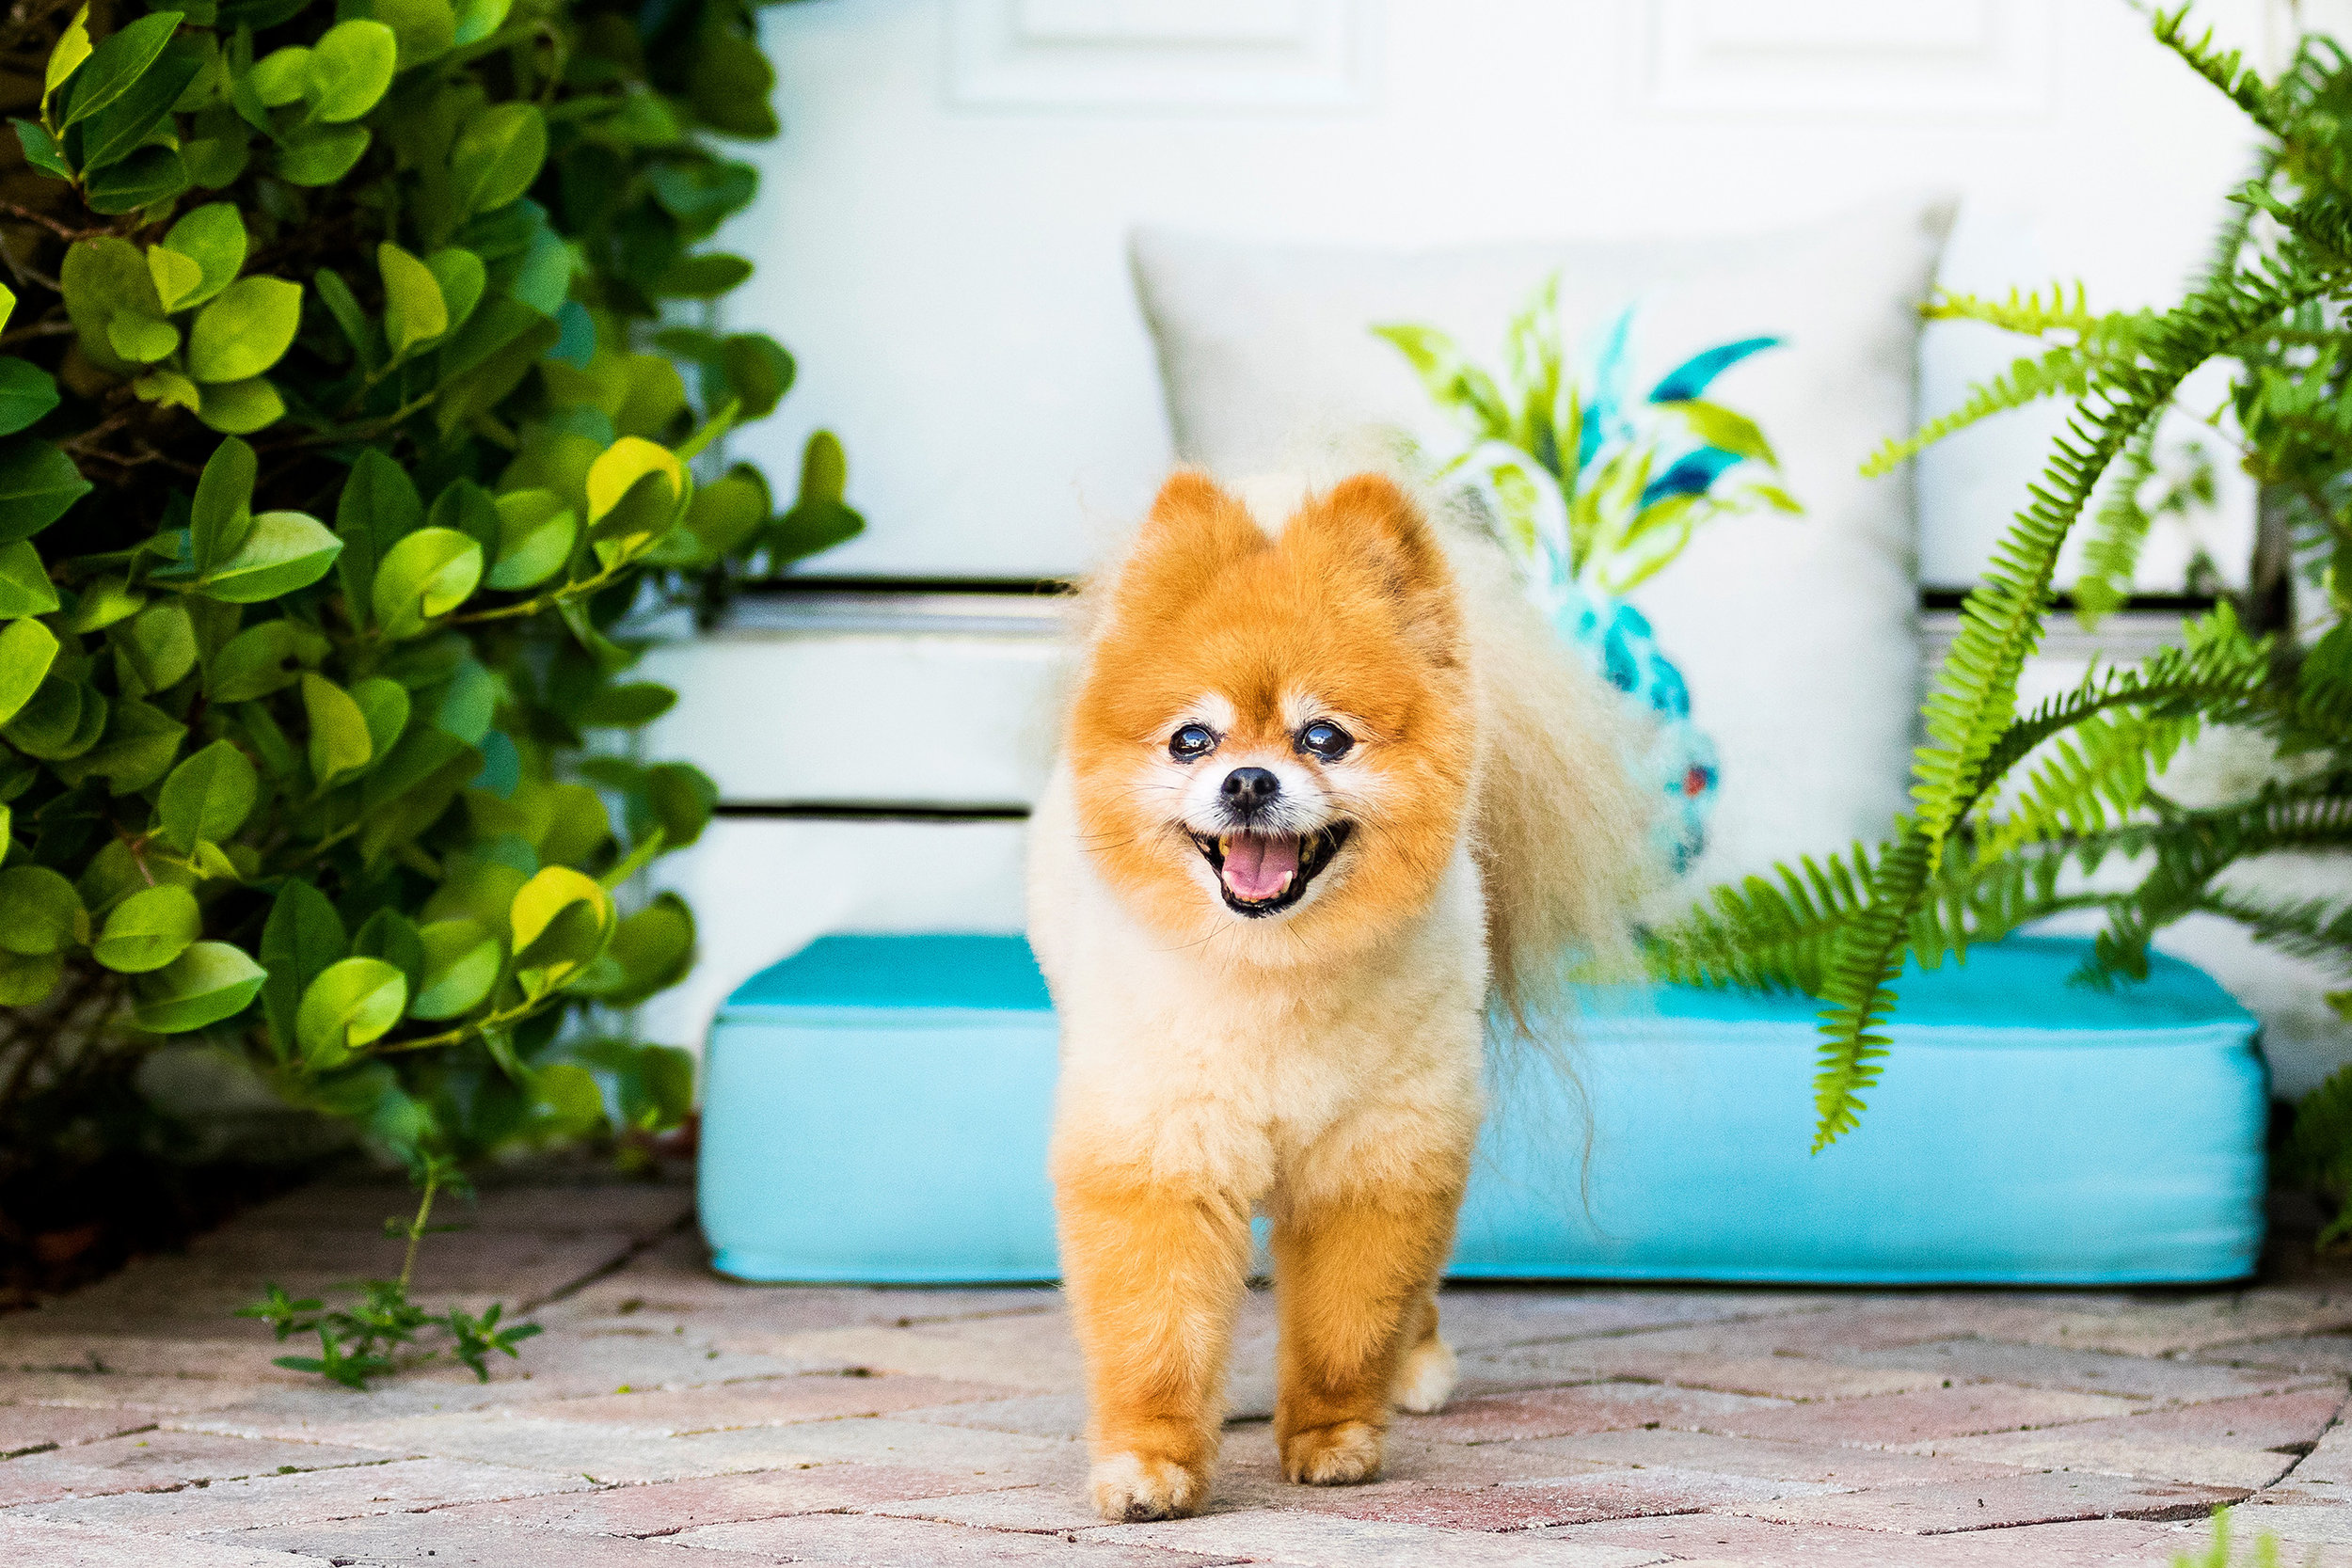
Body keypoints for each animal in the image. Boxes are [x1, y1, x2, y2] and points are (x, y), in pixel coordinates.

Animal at [1030, 469, 1656, 1523]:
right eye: (1191, 739)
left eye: (1323, 736)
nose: (1247, 779)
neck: (1274, 976)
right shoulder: (1161, 1149)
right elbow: (1156, 1333)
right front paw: (1149, 1467)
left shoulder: (1377, 1161)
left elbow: (1347, 1324)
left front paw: (1334, 1441)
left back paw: (1420, 1364)